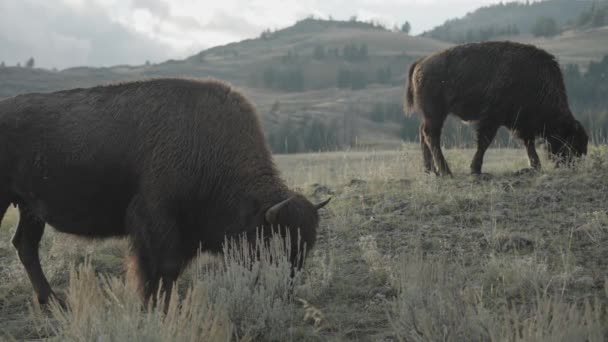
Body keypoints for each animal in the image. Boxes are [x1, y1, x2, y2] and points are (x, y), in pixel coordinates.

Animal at [0, 77, 330, 308]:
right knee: (25, 246)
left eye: (305, 249)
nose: (283, 292)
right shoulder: (157, 221)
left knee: (26, 245)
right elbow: (162, 270)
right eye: (273, 244)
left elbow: (163, 272)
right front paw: (157, 308)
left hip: (30, 208)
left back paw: (54, 302)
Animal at [406, 40, 588, 176]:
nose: (573, 164)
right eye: (571, 140)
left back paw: (431, 171)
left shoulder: (521, 124)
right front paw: (476, 169)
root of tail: (421, 62)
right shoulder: (492, 119)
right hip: (436, 113)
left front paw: (534, 166)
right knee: (431, 135)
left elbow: (528, 143)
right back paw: (445, 172)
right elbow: (485, 142)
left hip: (432, 115)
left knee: (424, 132)